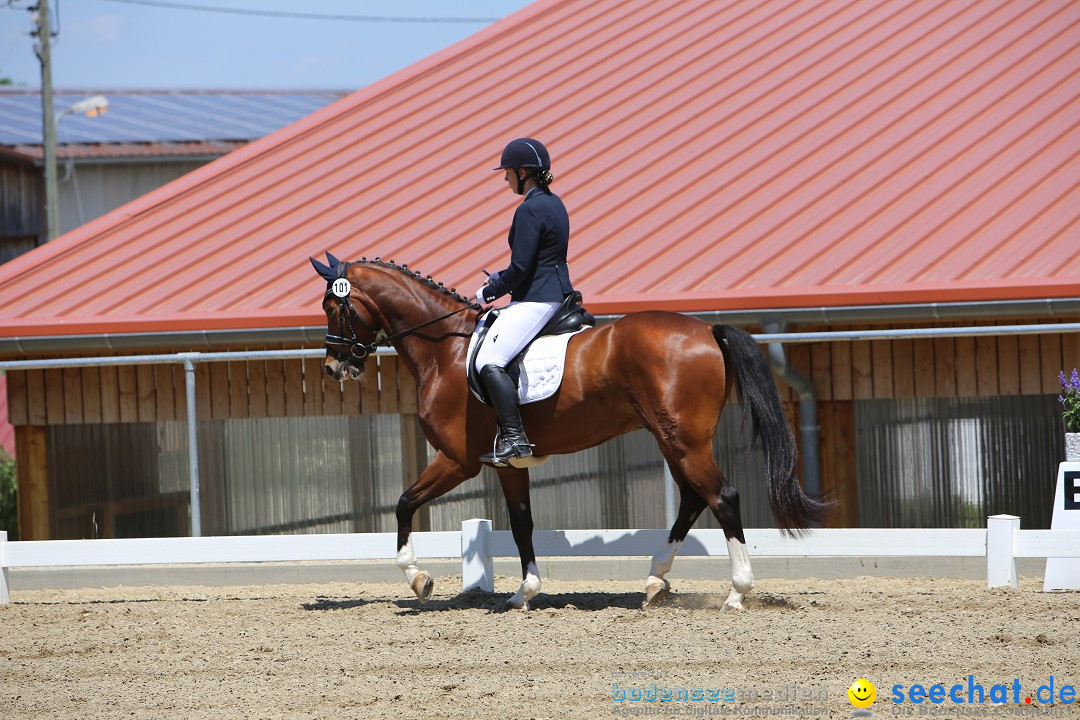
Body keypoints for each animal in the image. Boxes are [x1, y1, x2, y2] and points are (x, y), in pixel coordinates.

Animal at [313, 253, 825, 608]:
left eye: (333, 307)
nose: (334, 367)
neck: (448, 351)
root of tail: (706, 332)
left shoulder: (457, 460)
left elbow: (403, 504)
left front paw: (419, 579)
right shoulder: (507, 464)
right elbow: (521, 524)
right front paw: (525, 591)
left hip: (684, 441)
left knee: (723, 498)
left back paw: (736, 593)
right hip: (672, 439)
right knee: (695, 499)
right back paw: (654, 580)